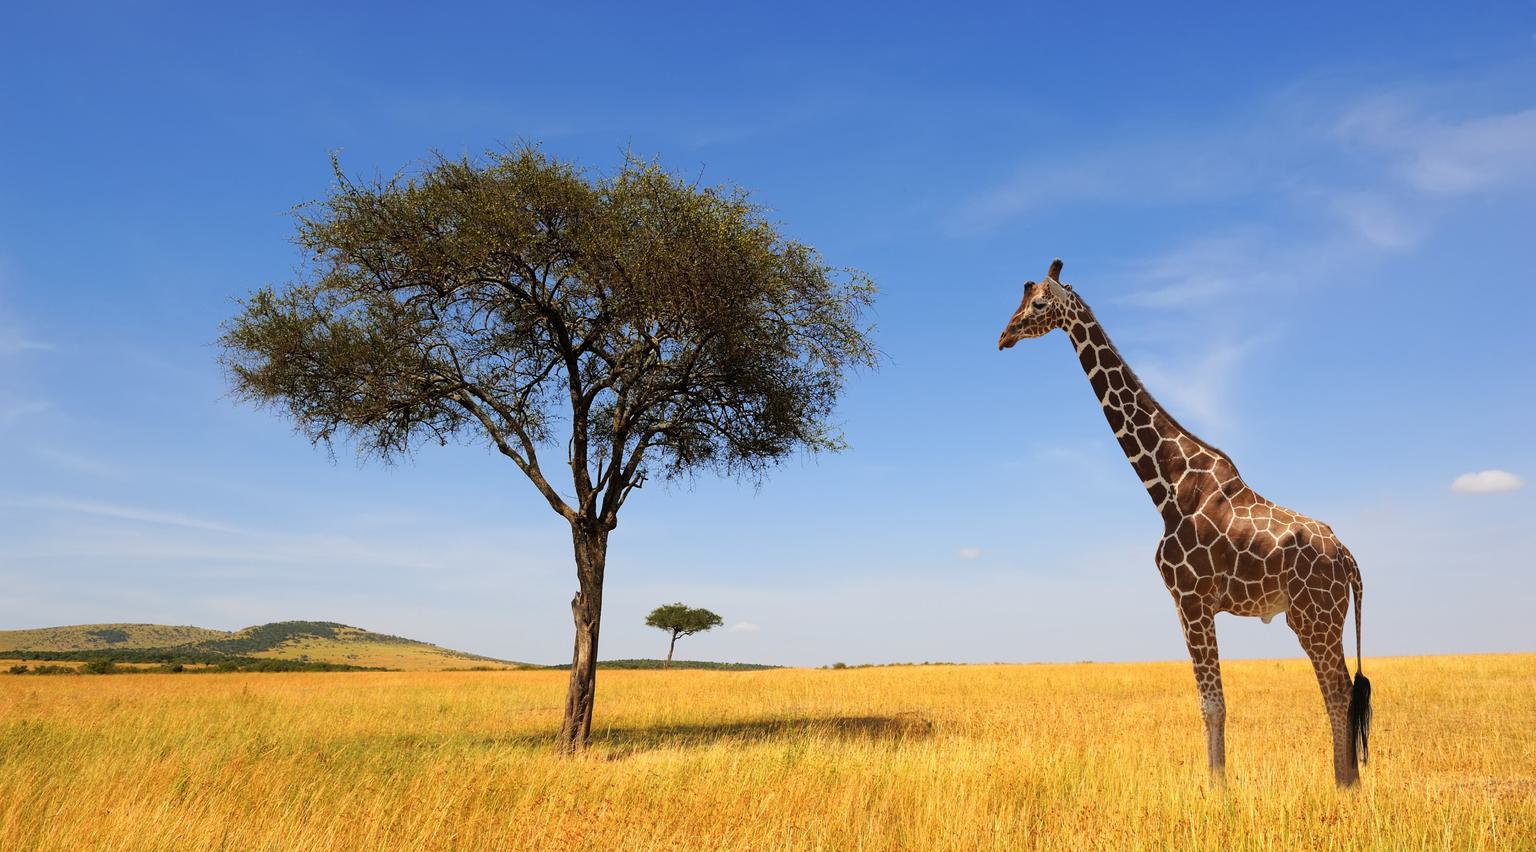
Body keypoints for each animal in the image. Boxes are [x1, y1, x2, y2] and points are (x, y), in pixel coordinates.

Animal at [997, 258, 1372, 787]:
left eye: (1037, 304)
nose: (1004, 335)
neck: (1166, 485)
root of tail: (1351, 561)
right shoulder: (1184, 604)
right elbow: (1208, 702)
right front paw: (1217, 785)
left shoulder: (1193, 599)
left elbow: (1212, 704)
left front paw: (1217, 790)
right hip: (1319, 617)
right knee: (1339, 687)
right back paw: (1348, 782)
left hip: (1314, 615)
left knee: (1337, 689)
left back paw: (1344, 786)